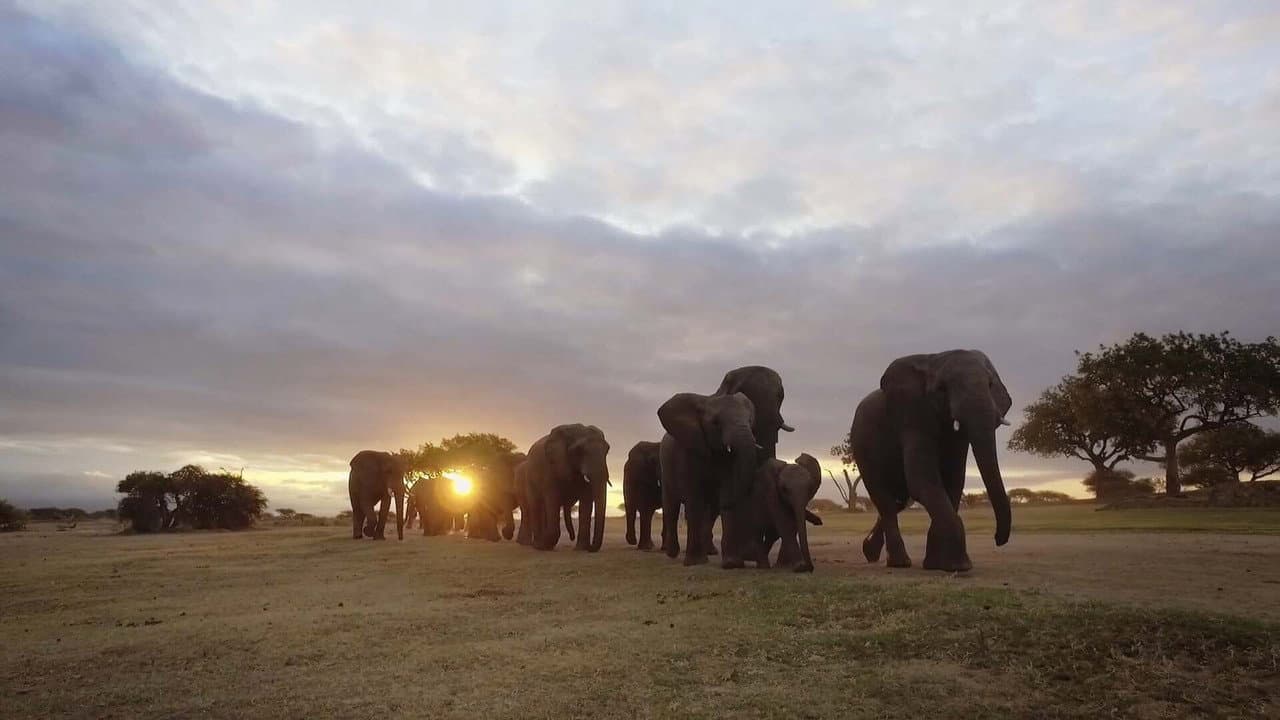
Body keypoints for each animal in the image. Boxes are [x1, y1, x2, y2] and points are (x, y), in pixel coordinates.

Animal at [658, 391, 759, 568]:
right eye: (716, 423)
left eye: (750, 421)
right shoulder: (688, 451)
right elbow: (694, 500)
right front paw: (695, 563)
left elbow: (726, 491)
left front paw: (732, 564)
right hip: (665, 468)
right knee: (671, 507)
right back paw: (672, 554)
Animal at [850, 349, 1013, 571]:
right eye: (942, 389)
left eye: (990, 384)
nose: (997, 539)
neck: (934, 359)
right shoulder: (913, 417)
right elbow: (923, 480)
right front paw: (957, 566)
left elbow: (954, 481)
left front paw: (937, 565)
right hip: (862, 448)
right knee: (885, 500)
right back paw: (899, 563)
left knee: (899, 500)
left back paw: (870, 552)